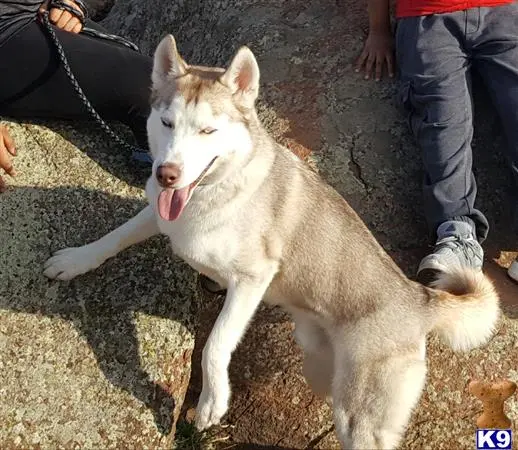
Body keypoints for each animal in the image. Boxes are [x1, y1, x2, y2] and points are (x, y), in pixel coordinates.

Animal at [42, 34, 502, 446]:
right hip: (321, 374)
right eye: (167, 123)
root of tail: (418, 297)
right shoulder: (161, 214)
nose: (166, 174)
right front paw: (75, 260)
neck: (216, 191)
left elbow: (215, 345)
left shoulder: (252, 280)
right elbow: (115, 237)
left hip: (360, 419)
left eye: (207, 130)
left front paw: (211, 402)